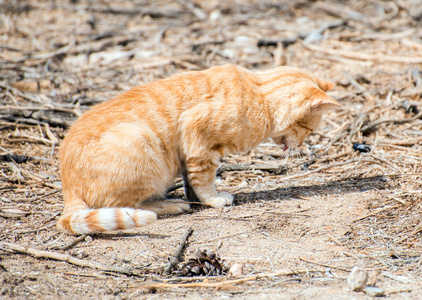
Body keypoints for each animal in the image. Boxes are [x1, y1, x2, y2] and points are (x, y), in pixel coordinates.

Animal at [57, 65, 340, 234]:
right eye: (310, 130)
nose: (302, 145)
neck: (258, 94)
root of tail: (68, 188)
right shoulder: (197, 133)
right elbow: (204, 178)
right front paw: (213, 199)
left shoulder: (189, 152)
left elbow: (190, 179)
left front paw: (197, 197)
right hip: (139, 140)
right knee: (127, 204)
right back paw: (169, 205)